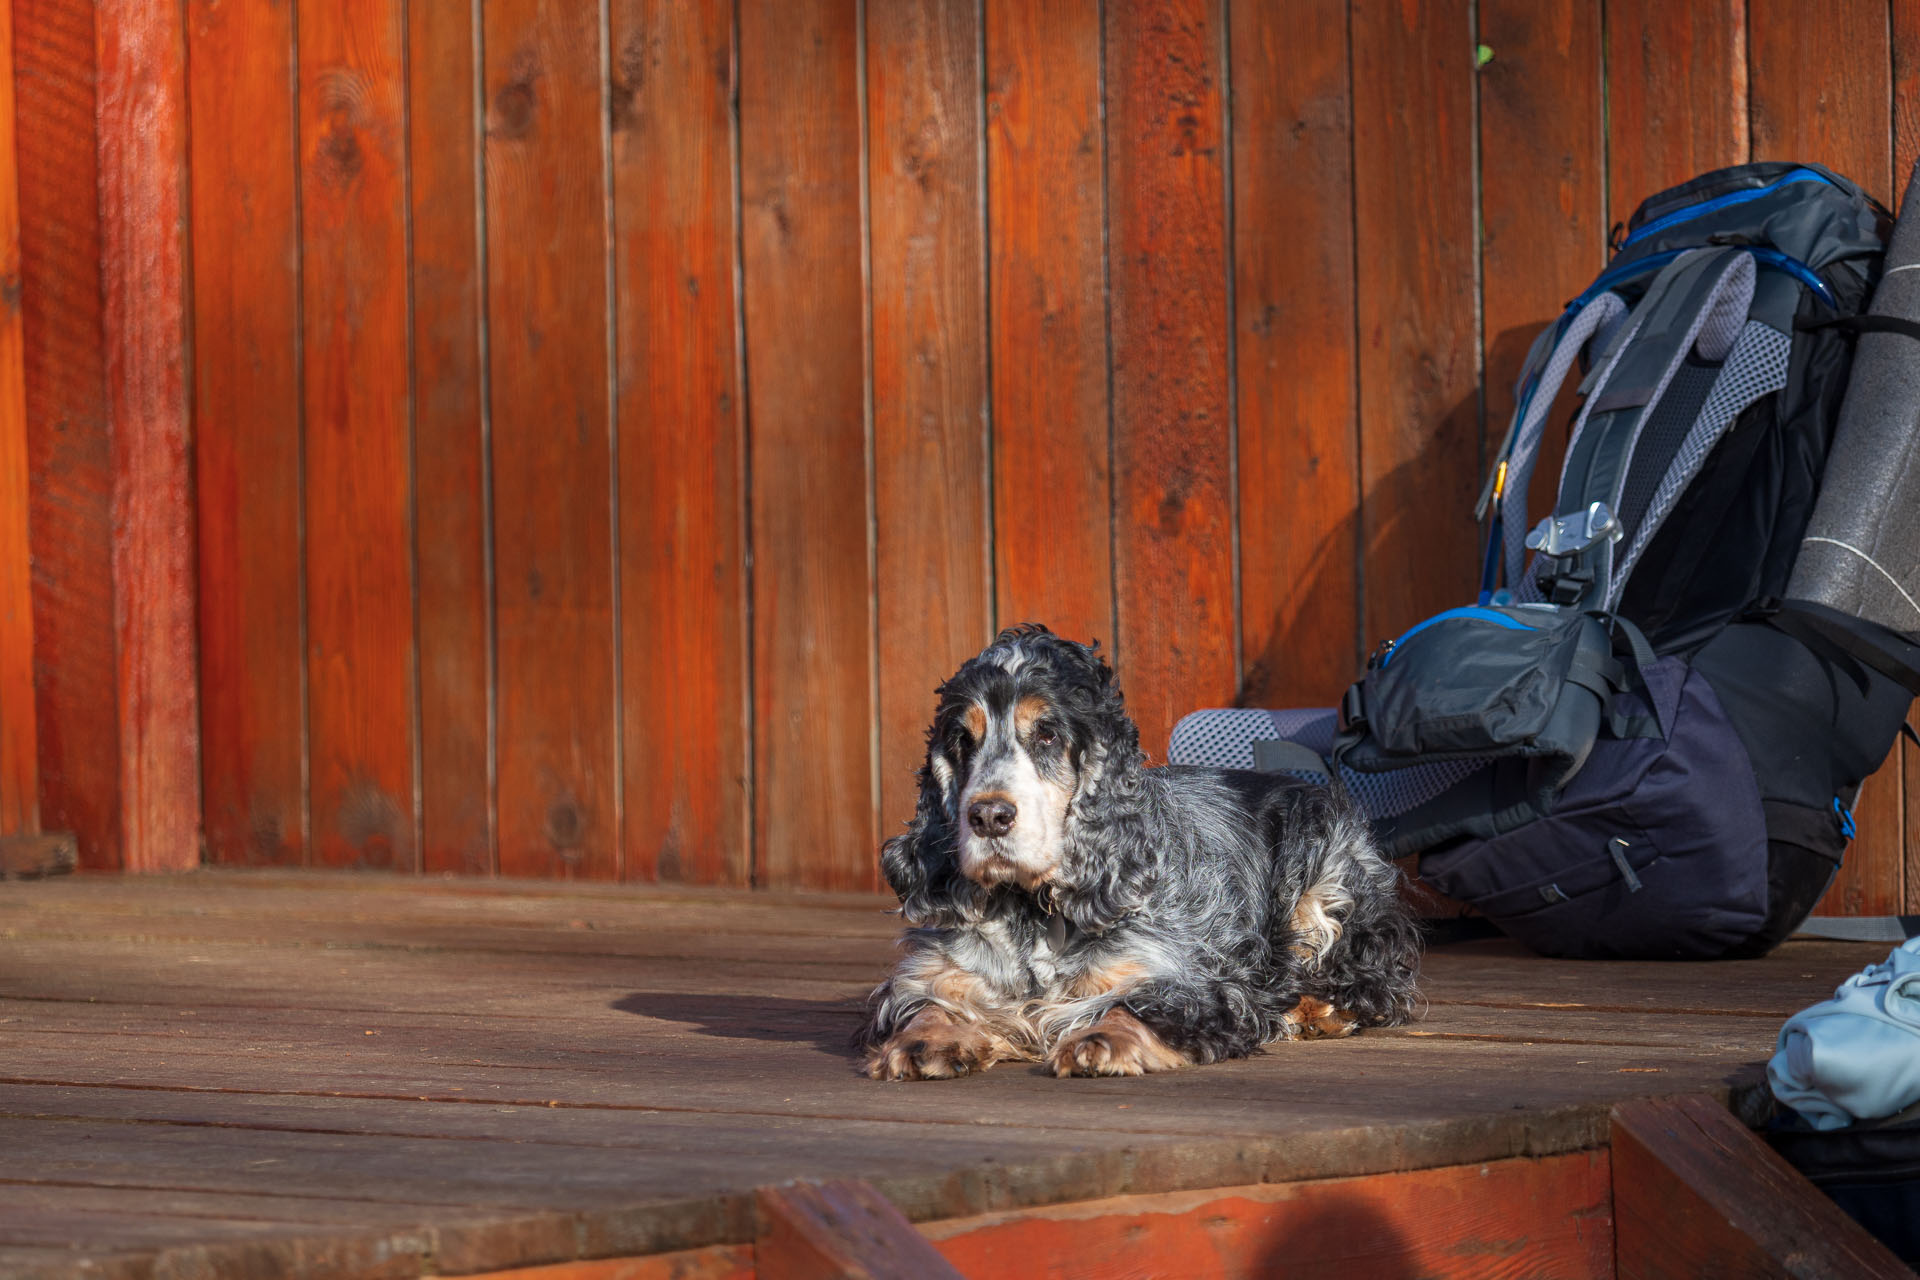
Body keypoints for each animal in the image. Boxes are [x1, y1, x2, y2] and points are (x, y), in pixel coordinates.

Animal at [864, 629, 1420, 1082]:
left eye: (1046, 733)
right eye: (962, 738)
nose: (988, 816)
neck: (1034, 910)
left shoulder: (1183, 976)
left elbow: (1137, 1005)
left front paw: (1101, 1040)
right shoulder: (934, 974)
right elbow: (927, 1003)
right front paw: (924, 1042)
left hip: (1323, 878)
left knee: (1368, 982)